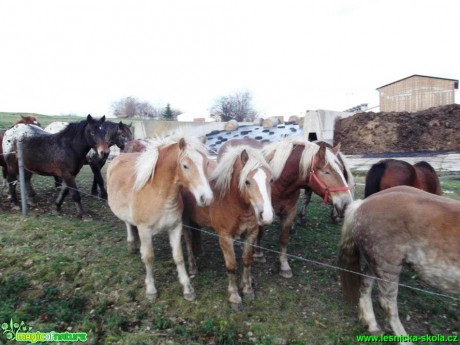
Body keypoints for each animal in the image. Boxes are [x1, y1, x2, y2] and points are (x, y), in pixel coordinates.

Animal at [107, 134, 214, 300]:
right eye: (185, 166)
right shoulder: (144, 230)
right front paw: (151, 290)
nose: (207, 198)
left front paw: (187, 289)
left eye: (206, 163)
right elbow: (149, 257)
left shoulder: (175, 227)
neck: (159, 195)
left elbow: (178, 257)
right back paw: (131, 244)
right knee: (128, 223)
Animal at [181, 142, 274, 310]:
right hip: (185, 220)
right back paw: (192, 267)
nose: (267, 215)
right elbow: (231, 266)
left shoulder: (250, 234)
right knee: (188, 239)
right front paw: (234, 297)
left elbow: (247, 260)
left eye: (270, 180)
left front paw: (247, 289)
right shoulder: (225, 237)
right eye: (247, 181)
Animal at [253, 137, 354, 276]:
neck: (277, 185)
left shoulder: (290, 211)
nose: (346, 204)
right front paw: (258, 254)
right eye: (326, 172)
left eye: (342, 170)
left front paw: (284, 266)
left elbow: (284, 238)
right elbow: (260, 232)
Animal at [338, 187, 460, 342]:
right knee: (387, 304)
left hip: (375, 262)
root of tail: (363, 203)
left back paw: (372, 325)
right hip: (388, 266)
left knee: (365, 284)